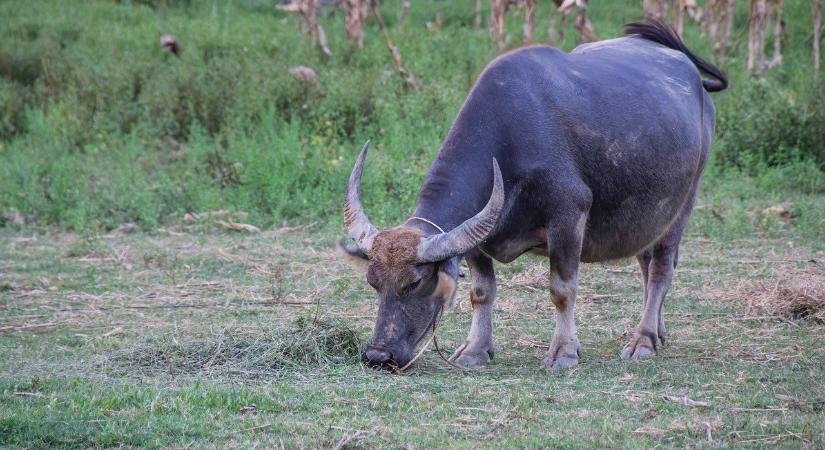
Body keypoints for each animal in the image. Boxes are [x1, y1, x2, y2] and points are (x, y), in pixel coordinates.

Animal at [338, 20, 724, 370]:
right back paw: (658, 333)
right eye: (373, 282)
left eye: (415, 282)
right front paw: (475, 350)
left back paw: (642, 340)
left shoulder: (568, 218)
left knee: (661, 269)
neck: (511, 140)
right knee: (647, 265)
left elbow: (562, 289)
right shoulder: (476, 237)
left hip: (683, 203)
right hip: (649, 216)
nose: (378, 356)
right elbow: (481, 292)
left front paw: (564, 352)